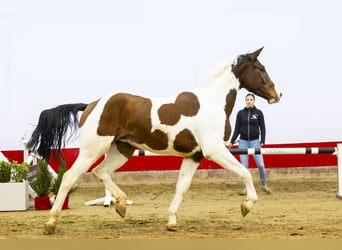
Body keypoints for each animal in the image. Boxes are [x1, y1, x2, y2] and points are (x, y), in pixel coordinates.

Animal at [28, 47, 282, 234]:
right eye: (260, 68)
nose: (277, 94)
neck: (212, 102)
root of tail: (90, 104)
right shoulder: (215, 150)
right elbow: (245, 173)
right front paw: (246, 206)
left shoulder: (194, 155)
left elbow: (181, 187)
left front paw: (171, 221)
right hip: (93, 149)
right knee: (70, 177)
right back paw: (51, 223)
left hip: (122, 150)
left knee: (101, 172)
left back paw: (121, 205)